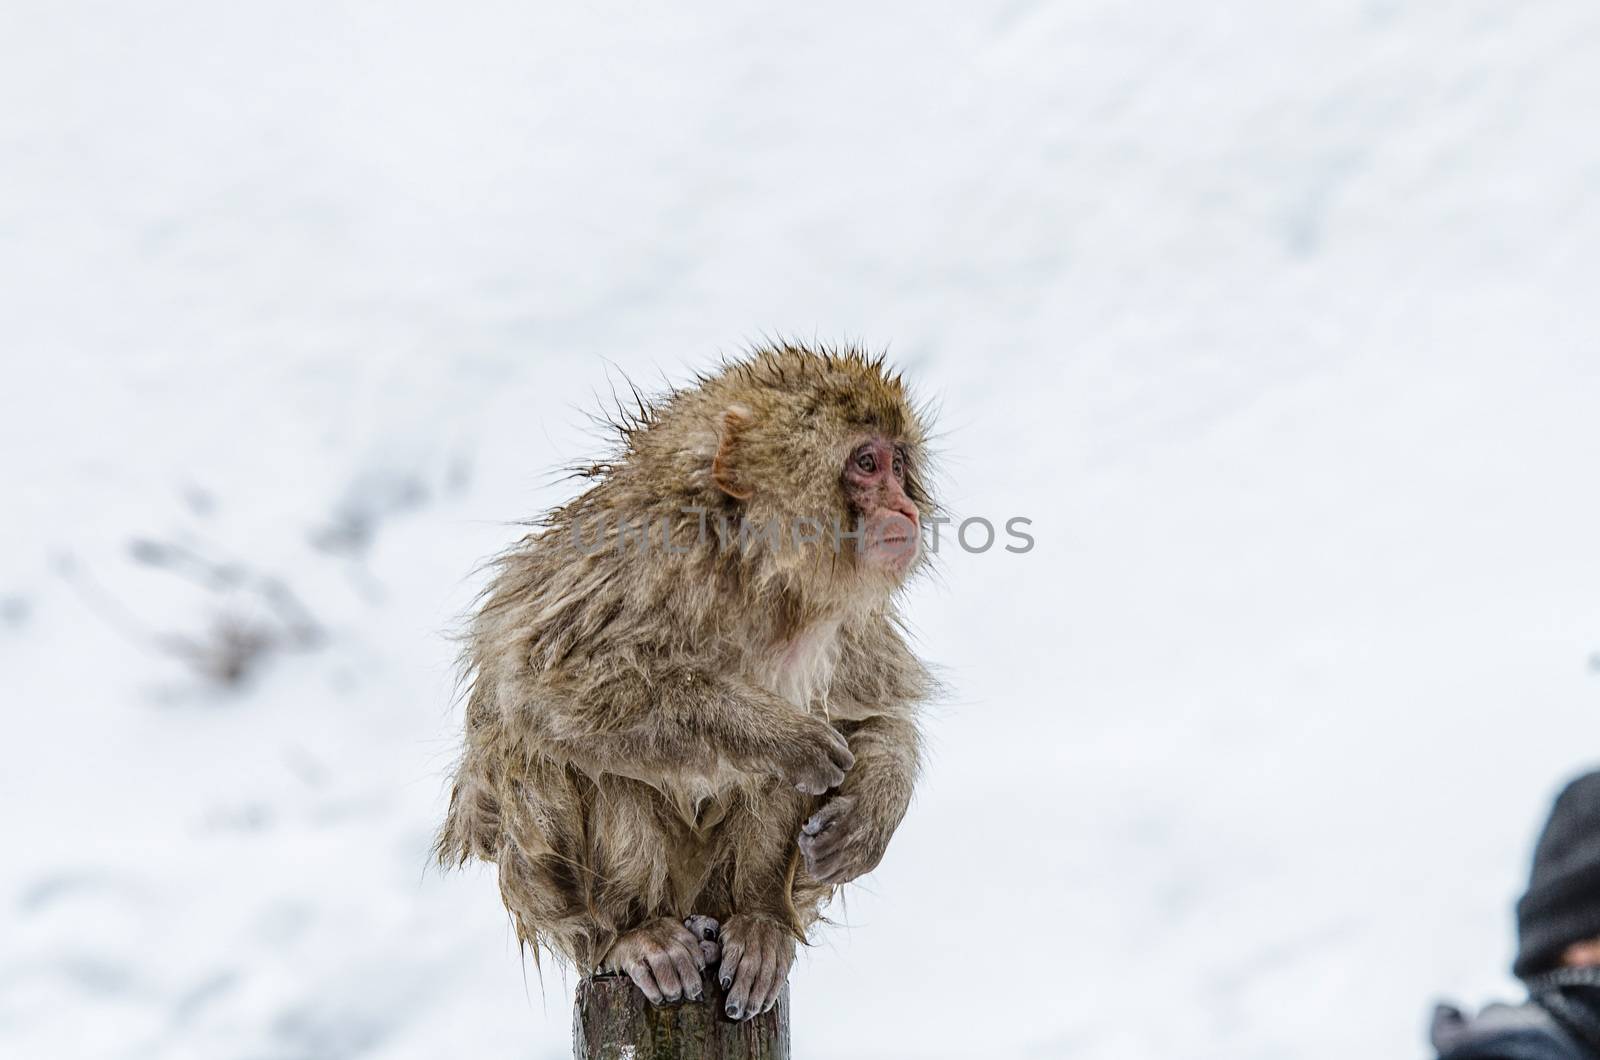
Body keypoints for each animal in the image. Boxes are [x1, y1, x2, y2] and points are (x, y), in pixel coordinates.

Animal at [438, 344, 934, 1024]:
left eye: (899, 464)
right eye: (867, 463)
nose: (905, 508)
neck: (755, 566)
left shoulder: (840, 616)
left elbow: (874, 710)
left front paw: (869, 812)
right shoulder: (645, 558)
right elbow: (535, 682)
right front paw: (783, 737)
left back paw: (760, 920)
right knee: (556, 752)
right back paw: (627, 933)